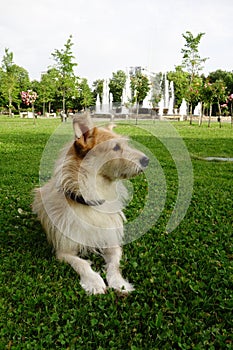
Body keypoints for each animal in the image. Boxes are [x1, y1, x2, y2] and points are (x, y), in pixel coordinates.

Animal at [32, 113, 149, 294]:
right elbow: (82, 264)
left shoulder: (112, 244)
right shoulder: (64, 251)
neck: (92, 201)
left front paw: (119, 283)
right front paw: (94, 282)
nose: (147, 160)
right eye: (116, 147)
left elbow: (115, 265)